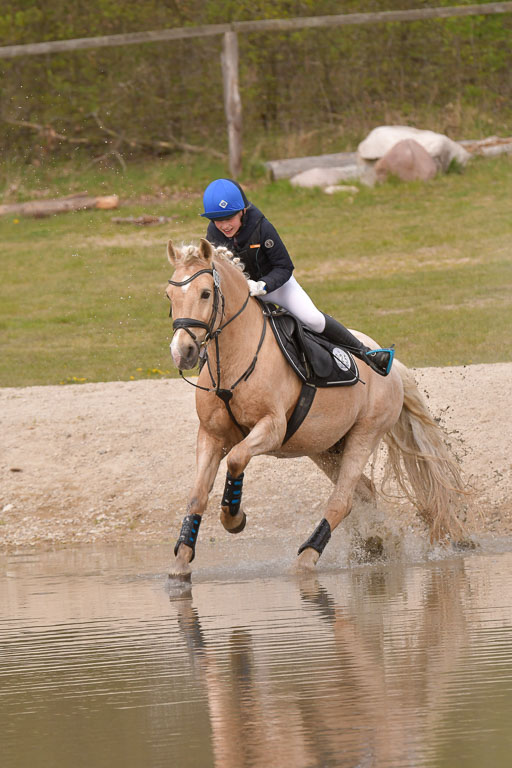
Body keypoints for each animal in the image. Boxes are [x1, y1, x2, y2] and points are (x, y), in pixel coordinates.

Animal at [165, 237, 468, 580]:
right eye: (170, 296)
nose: (183, 352)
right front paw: (181, 562)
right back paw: (374, 544)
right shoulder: (211, 435)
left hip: (366, 432)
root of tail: (393, 370)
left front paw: (233, 518)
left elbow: (237, 459)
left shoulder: (271, 428)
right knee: (363, 491)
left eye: (205, 293)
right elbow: (197, 497)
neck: (233, 358)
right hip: (324, 446)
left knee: (342, 500)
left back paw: (306, 560)